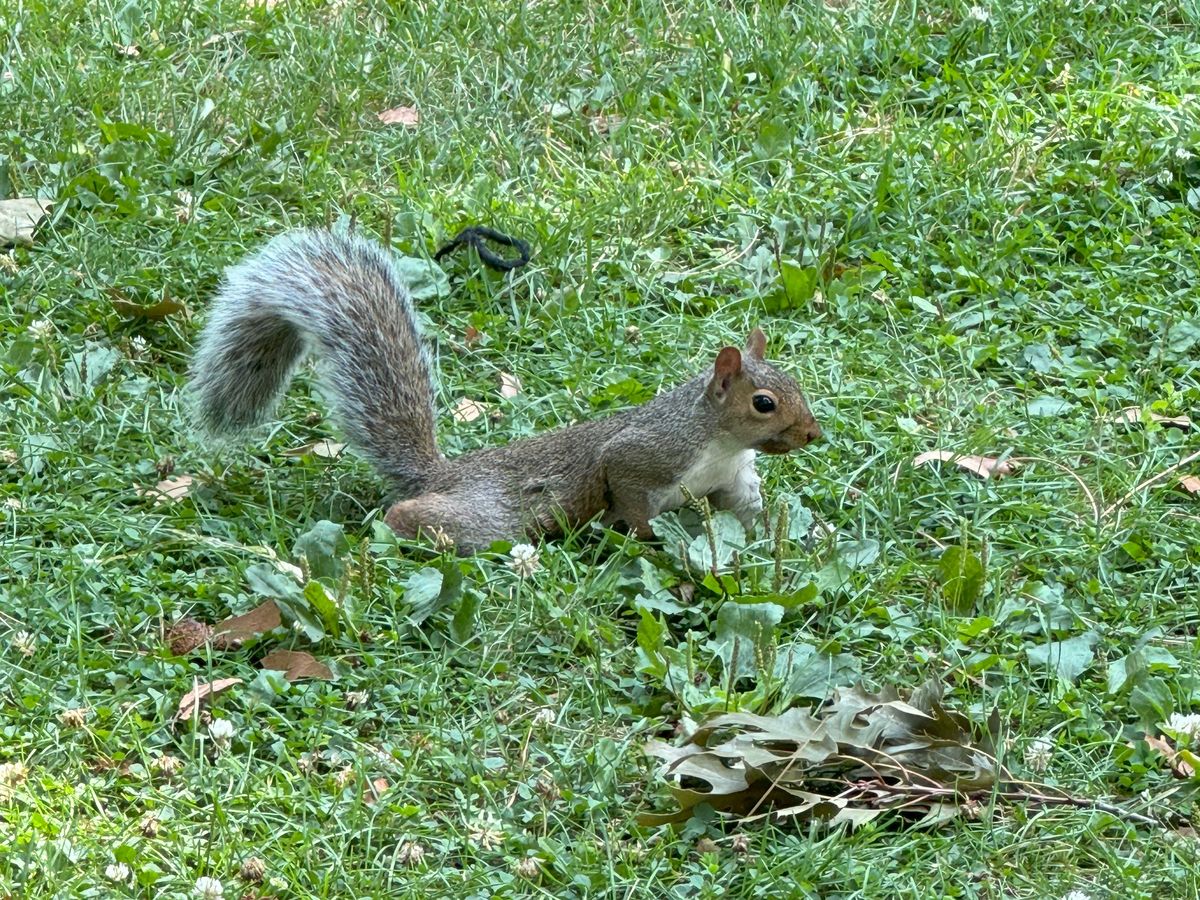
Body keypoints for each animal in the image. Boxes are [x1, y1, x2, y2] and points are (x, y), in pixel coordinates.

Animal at [190, 229, 822, 553]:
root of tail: (441, 476)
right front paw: (648, 542)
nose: (813, 434)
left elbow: (749, 514)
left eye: (795, 384)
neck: (718, 442)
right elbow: (629, 495)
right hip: (488, 516)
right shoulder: (644, 455)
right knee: (415, 516)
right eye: (764, 403)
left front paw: (785, 542)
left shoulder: (732, 481)